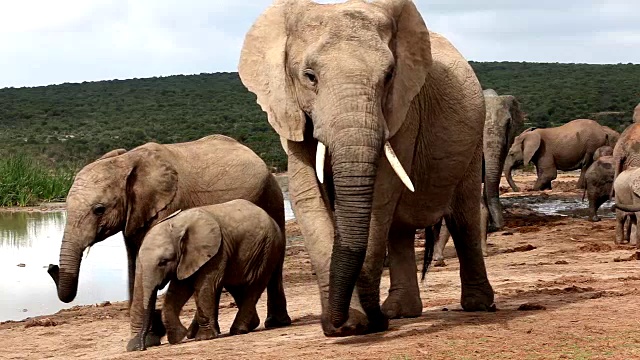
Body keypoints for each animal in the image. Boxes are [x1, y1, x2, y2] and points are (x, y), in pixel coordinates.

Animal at [127, 198, 288, 350]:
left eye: (163, 262)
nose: (142, 348)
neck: (177, 225)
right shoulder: (188, 258)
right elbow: (179, 289)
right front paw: (177, 337)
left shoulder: (216, 251)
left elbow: (204, 285)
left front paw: (204, 338)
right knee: (237, 286)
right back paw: (251, 324)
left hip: (267, 249)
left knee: (255, 285)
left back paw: (238, 330)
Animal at [240, 0, 496, 338]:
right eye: (310, 76)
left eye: (388, 75)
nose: (376, 320)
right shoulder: (289, 110)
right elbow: (306, 193)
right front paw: (345, 327)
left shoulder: (403, 109)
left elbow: (381, 192)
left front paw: (361, 323)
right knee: (400, 229)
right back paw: (400, 312)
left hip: (474, 136)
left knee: (463, 215)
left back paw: (476, 305)